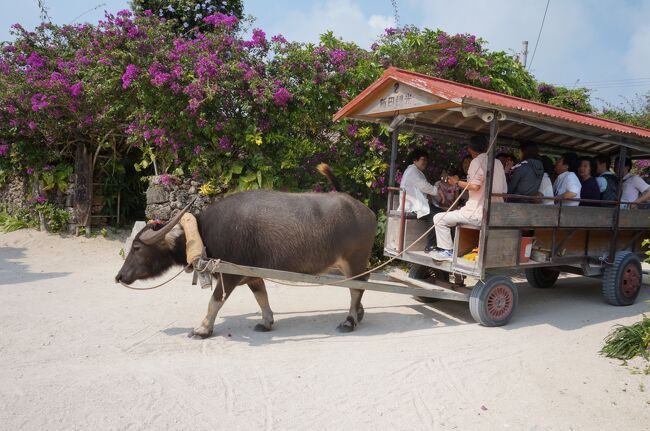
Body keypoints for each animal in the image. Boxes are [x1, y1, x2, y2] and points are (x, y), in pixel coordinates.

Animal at [115, 167, 374, 340]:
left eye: (137, 248)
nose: (119, 277)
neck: (203, 233)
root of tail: (365, 211)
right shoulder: (252, 275)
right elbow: (262, 297)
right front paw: (267, 322)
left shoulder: (229, 275)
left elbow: (214, 301)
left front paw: (202, 329)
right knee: (359, 285)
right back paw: (359, 313)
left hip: (354, 260)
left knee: (357, 287)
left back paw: (349, 320)